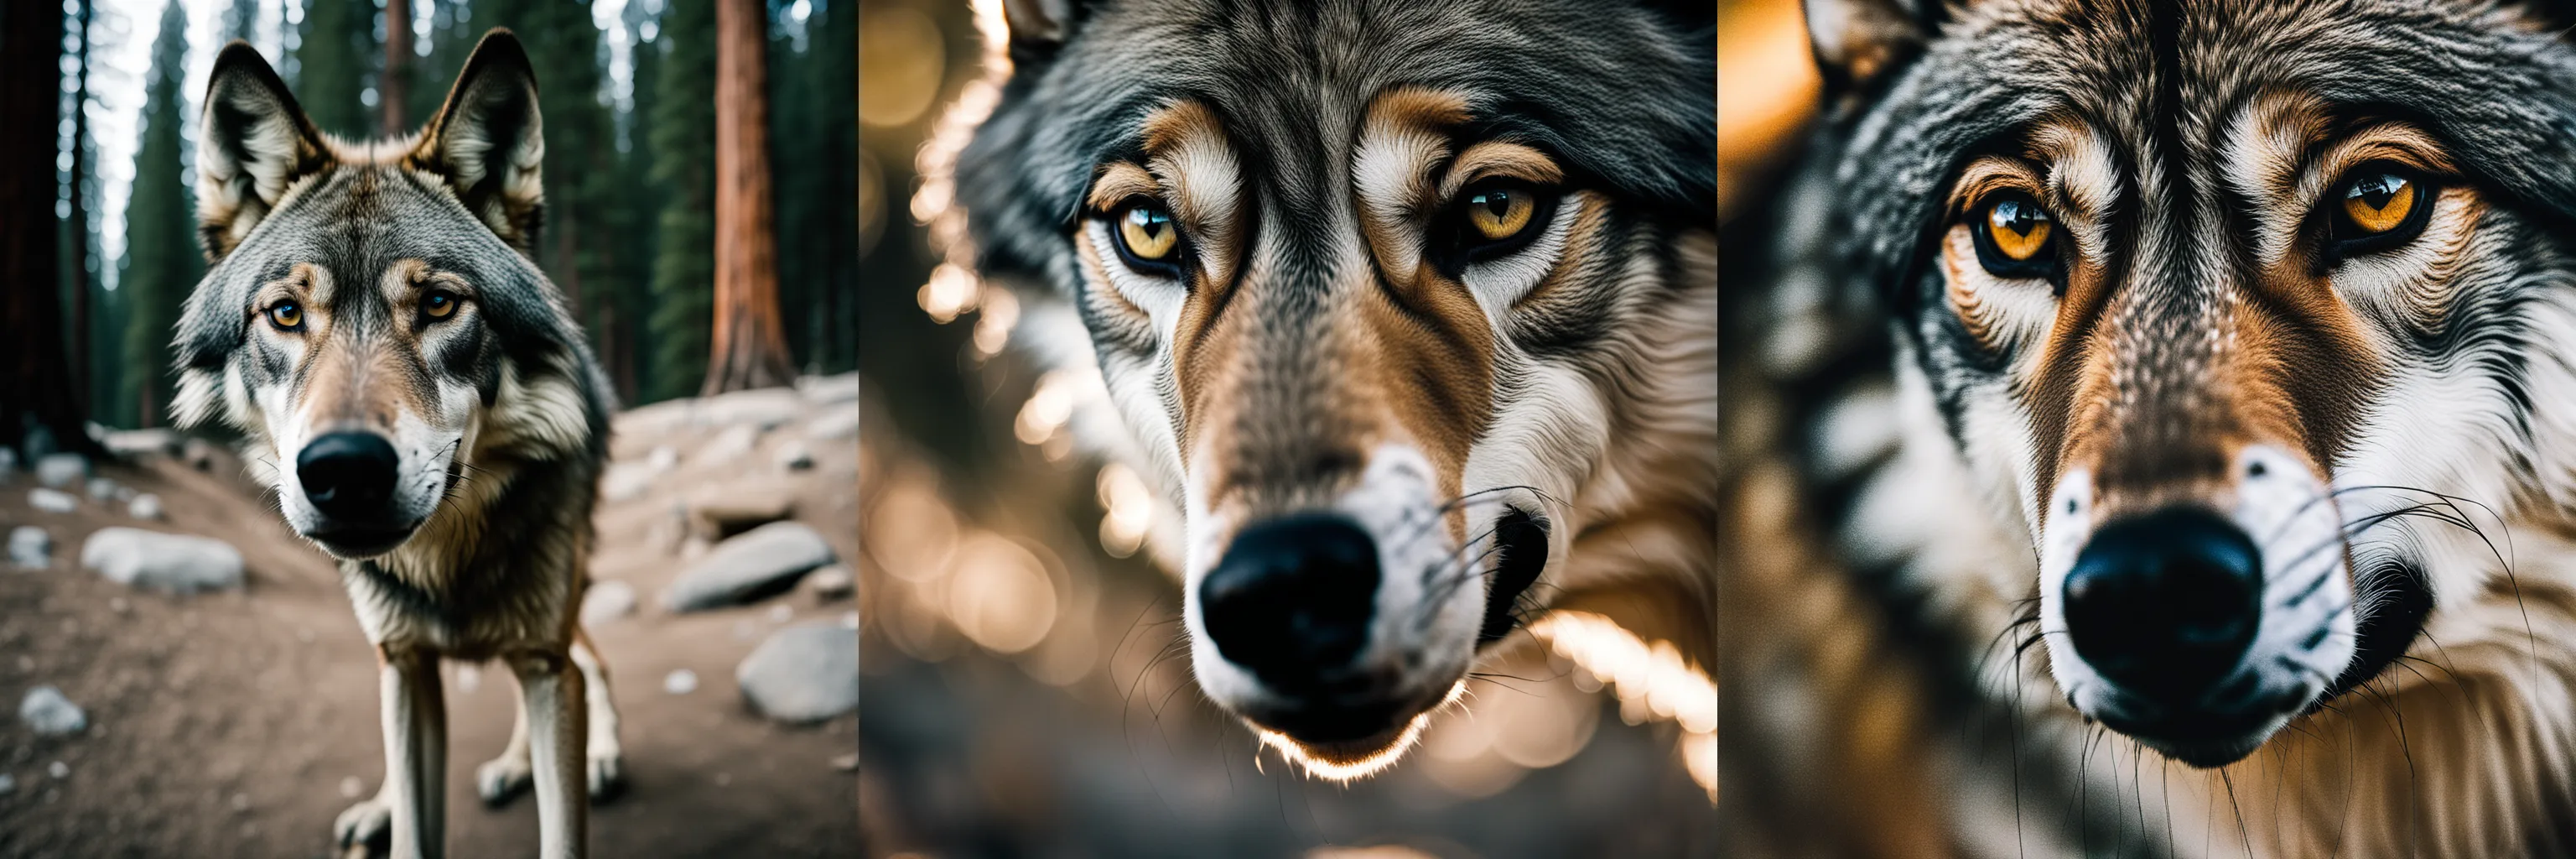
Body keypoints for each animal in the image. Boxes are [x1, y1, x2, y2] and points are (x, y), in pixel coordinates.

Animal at [169, 29, 623, 851]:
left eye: (440, 304)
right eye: (285, 314)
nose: (343, 471)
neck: (444, 564)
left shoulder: (544, 650)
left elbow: (561, 805)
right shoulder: (404, 663)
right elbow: (415, 822)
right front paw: (395, 809)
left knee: (589, 661)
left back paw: (597, 754)